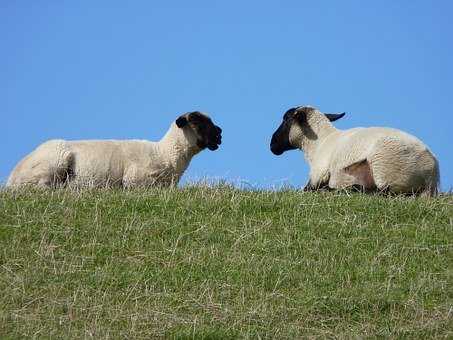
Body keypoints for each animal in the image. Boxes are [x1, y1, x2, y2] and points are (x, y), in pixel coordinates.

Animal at [7, 111, 222, 189]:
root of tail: (11, 178)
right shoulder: (135, 182)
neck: (164, 154)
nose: (220, 134)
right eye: (197, 122)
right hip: (54, 161)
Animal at [270, 106, 440, 197]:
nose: (272, 144)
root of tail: (433, 171)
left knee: (382, 192)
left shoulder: (316, 177)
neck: (319, 143)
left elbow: (307, 190)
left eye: (286, 119)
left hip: (384, 168)